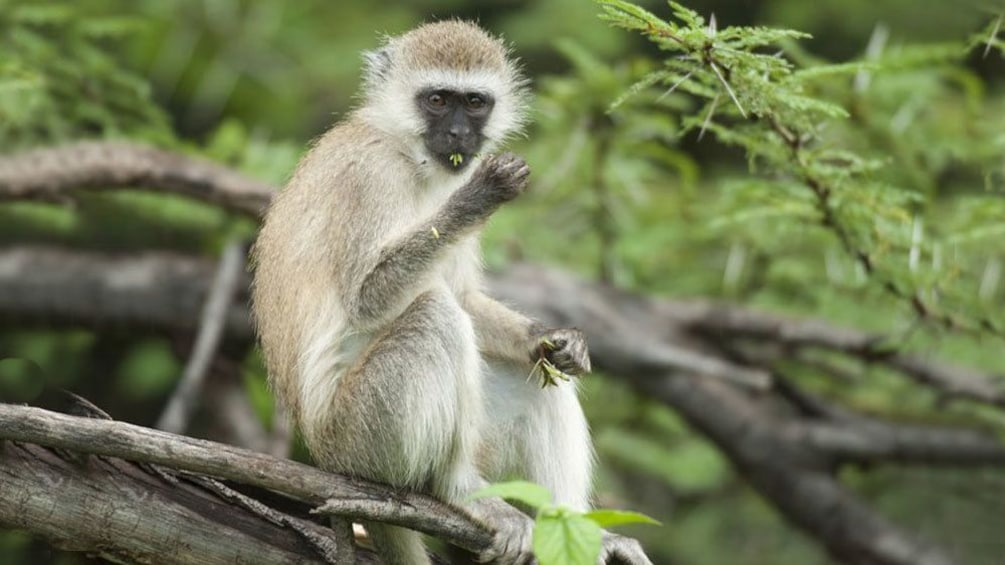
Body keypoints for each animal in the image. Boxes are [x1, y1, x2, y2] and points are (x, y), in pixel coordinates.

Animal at [253, 19, 651, 562]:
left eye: (475, 102)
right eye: (438, 100)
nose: (461, 135)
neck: (409, 154)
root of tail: (326, 458)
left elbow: (470, 301)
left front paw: (553, 338)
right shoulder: (369, 174)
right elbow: (367, 299)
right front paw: (479, 196)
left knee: (537, 378)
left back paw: (582, 530)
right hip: (362, 437)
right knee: (434, 316)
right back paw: (457, 490)